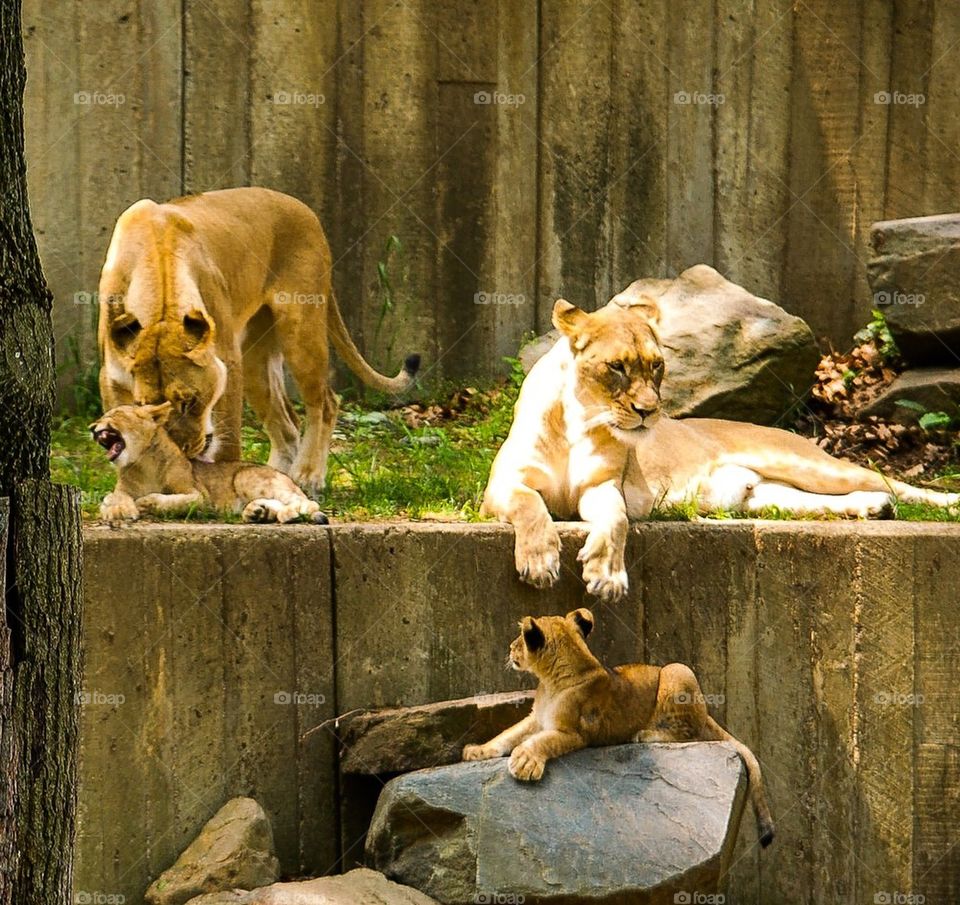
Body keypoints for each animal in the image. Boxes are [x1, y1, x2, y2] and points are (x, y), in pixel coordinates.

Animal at [91, 402, 327, 524]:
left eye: (114, 414)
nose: (92, 427)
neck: (141, 463)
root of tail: (287, 477)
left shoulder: (198, 496)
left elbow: (170, 500)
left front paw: (144, 503)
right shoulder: (122, 489)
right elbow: (113, 496)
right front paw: (117, 510)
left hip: (246, 476)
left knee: (307, 502)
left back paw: (289, 515)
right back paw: (258, 513)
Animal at [98, 187, 419, 493]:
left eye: (190, 402)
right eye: (146, 406)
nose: (185, 452)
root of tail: (305, 209)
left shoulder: (227, 364)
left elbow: (227, 444)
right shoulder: (111, 376)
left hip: (300, 332)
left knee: (325, 402)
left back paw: (308, 476)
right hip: (255, 360)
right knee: (288, 425)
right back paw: (276, 476)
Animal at [463, 609, 775, 847]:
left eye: (519, 639)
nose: (509, 648)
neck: (550, 682)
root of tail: (707, 712)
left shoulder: (574, 733)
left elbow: (540, 742)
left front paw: (525, 762)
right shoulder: (535, 719)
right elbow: (507, 735)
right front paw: (475, 751)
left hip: (677, 670)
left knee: (691, 733)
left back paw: (645, 733)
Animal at [482, 296, 959, 601]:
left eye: (657, 365)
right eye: (616, 366)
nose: (648, 412)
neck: (580, 421)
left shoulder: (605, 487)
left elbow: (616, 520)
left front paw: (606, 575)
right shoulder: (500, 490)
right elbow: (530, 506)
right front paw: (540, 562)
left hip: (807, 463)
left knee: (896, 484)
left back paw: (944, 503)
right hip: (767, 497)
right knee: (830, 500)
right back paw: (873, 508)